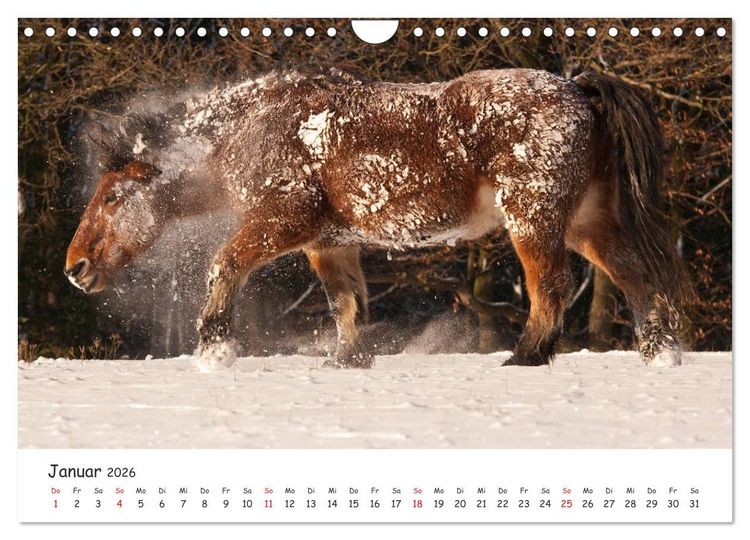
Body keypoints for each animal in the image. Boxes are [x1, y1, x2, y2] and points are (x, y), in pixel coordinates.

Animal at [65, 67, 690, 367]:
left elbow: (224, 264)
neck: (255, 128)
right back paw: (660, 355)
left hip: (534, 219)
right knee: (637, 278)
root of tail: (580, 90)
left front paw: (215, 348)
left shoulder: (284, 222)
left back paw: (527, 356)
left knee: (550, 288)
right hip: (588, 224)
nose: (75, 268)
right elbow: (347, 305)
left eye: (113, 197)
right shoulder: (327, 242)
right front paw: (347, 360)